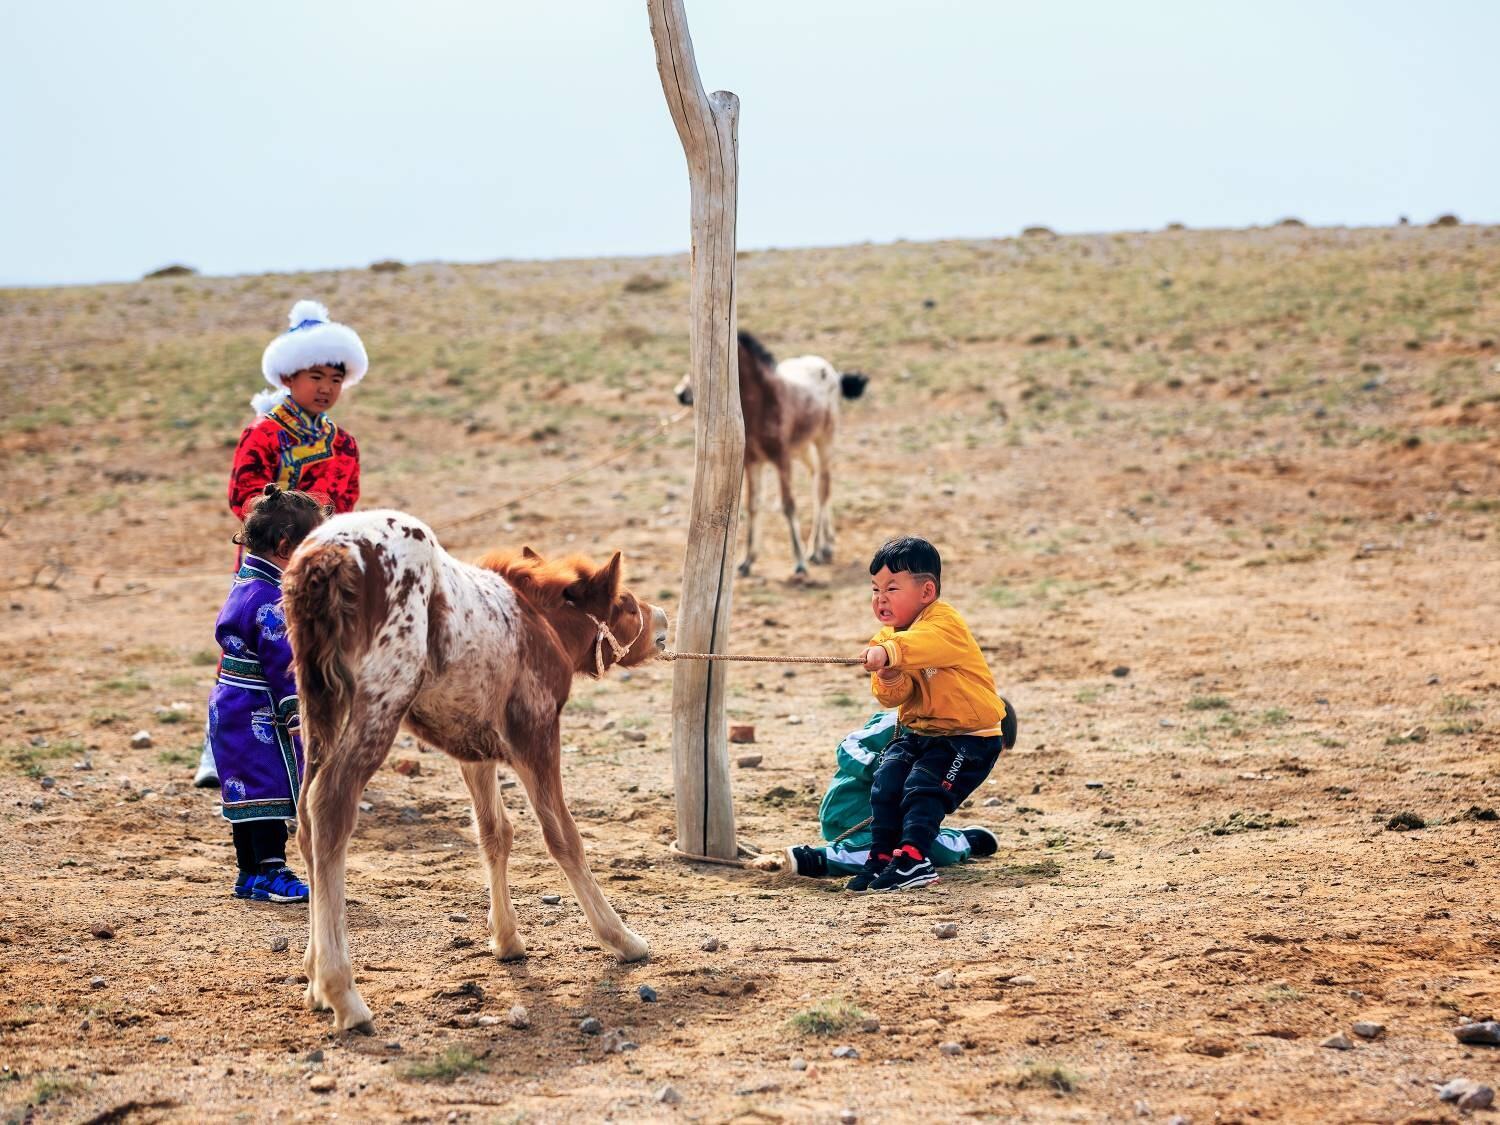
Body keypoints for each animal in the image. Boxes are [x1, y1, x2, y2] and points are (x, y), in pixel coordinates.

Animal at [281, 510, 667, 1033]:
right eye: (624, 603)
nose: (661, 618)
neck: (537, 621)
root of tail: (327, 554)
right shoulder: (535, 733)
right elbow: (562, 836)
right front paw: (621, 937)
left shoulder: (473, 748)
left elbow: (494, 832)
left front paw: (506, 939)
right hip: (379, 702)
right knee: (330, 807)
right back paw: (342, 992)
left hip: (318, 704)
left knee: (305, 817)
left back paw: (314, 977)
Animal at [675, 331, 869, 577]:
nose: (680, 394)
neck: (762, 402)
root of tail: (833, 372)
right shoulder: (752, 462)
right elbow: (753, 505)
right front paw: (747, 561)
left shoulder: (782, 459)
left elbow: (788, 504)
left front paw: (799, 561)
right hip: (803, 448)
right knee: (816, 480)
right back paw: (826, 544)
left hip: (824, 440)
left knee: (823, 487)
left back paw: (817, 549)